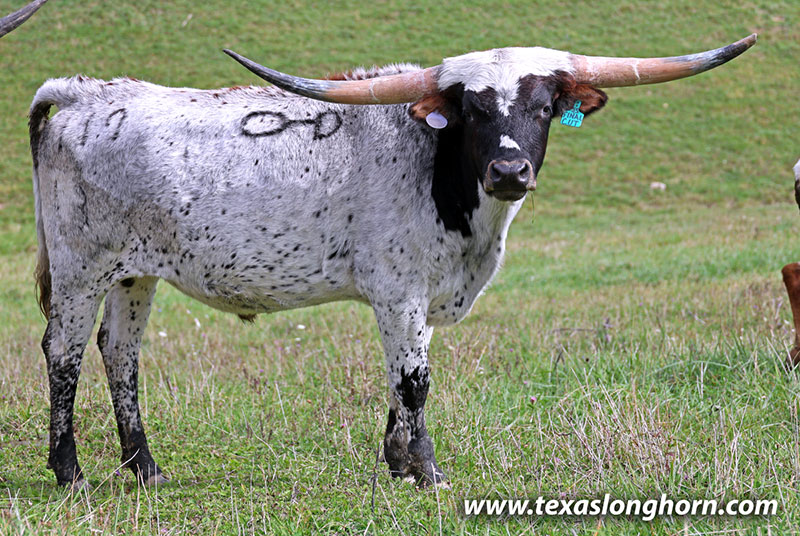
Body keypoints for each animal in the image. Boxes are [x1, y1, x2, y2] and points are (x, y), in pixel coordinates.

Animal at [29, 35, 756, 489]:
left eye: (547, 107)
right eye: (470, 110)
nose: (510, 171)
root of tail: (87, 94)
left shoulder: (420, 300)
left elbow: (401, 378)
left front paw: (398, 461)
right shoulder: (398, 291)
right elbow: (415, 381)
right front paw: (428, 473)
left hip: (135, 272)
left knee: (120, 352)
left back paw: (146, 470)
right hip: (79, 267)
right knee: (63, 353)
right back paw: (71, 474)